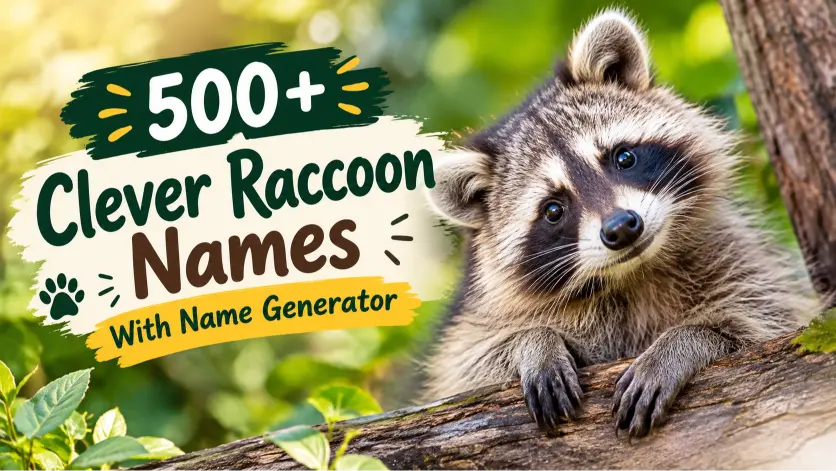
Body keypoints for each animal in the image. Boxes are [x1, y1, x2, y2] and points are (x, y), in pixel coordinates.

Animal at [423, 9, 817, 438]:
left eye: (623, 157)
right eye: (553, 209)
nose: (622, 228)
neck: (631, 273)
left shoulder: (737, 257)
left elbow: (761, 323)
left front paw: (683, 342)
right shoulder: (474, 329)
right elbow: (469, 368)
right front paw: (532, 343)